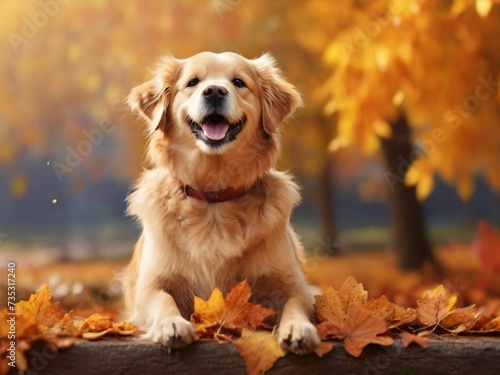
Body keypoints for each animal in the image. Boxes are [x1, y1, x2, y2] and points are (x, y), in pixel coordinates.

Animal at [124, 51, 320, 354]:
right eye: (193, 82)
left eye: (238, 82)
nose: (214, 91)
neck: (214, 197)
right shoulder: (150, 286)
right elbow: (162, 299)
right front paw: (171, 324)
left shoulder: (293, 284)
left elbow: (295, 302)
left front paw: (299, 328)